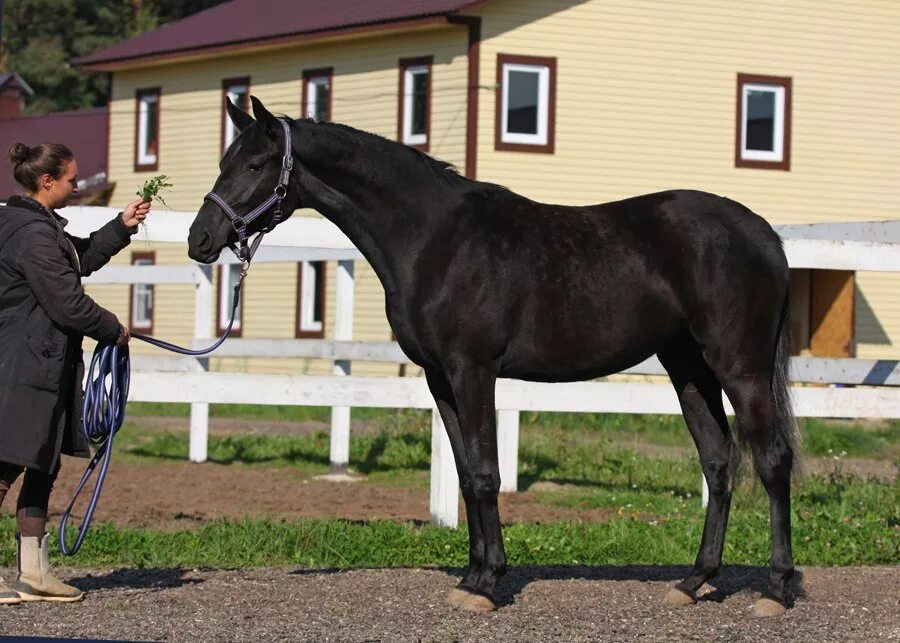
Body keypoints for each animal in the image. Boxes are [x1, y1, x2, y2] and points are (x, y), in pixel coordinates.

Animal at [188, 97, 796, 620]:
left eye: (257, 163)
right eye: (223, 161)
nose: (200, 239)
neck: (434, 239)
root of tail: (765, 234)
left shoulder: (473, 370)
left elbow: (485, 472)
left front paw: (485, 586)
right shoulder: (440, 378)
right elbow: (463, 473)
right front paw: (473, 576)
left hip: (739, 368)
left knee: (771, 461)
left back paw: (777, 590)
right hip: (688, 369)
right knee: (718, 462)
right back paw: (694, 581)